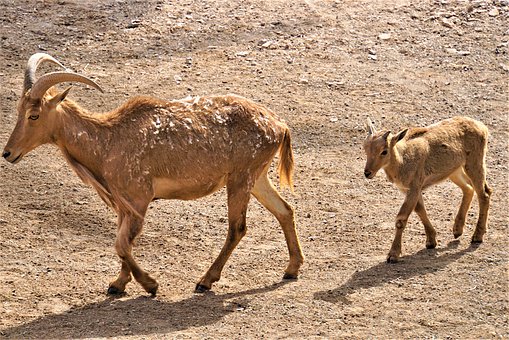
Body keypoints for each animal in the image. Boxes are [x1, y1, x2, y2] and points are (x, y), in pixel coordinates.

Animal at [1, 53, 304, 294]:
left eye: (34, 115)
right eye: (19, 110)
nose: (8, 153)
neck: (107, 141)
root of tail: (279, 125)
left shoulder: (139, 197)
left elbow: (122, 244)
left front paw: (149, 284)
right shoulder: (123, 204)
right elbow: (122, 242)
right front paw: (118, 284)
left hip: (241, 178)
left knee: (237, 227)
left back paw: (205, 280)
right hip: (257, 177)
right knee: (284, 210)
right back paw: (292, 268)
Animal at [364, 117, 490, 262]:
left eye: (384, 151)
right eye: (365, 148)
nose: (367, 173)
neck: (403, 161)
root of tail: (482, 127)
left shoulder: (414, 186)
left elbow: (401, 219)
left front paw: (393, 255)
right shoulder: (410, 189)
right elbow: (420, 210)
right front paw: (431, 241)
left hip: (475, 163)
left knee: (484, 194)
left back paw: (477, 236)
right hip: (454, 171)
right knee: (469, 189)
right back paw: (457, 230)